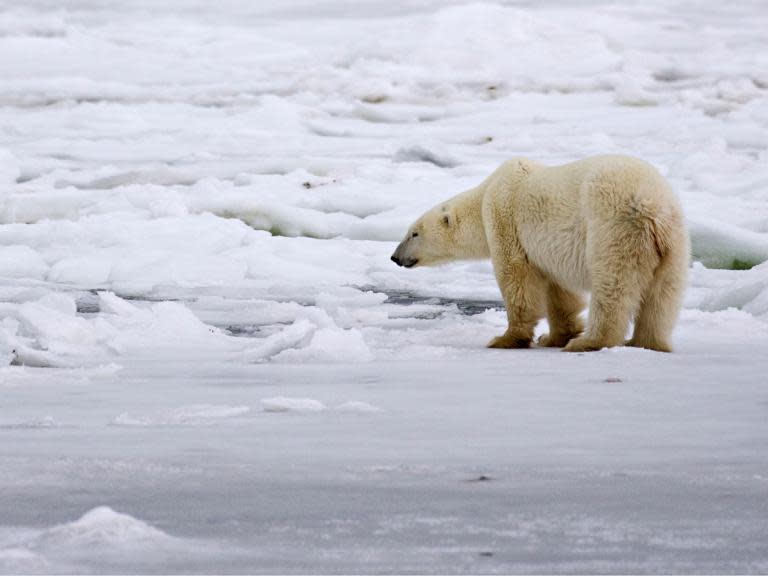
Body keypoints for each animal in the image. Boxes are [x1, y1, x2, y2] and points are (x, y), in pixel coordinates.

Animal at [390, 155, 688, 352]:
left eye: (413, 233)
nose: (395, 257)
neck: (486, 193)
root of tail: (653, 208)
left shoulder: (505, 218)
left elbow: (516, 278)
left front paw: (506, 339)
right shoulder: (548, 250)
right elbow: (559, 291)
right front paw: (555, 336)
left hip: (613, 229)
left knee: (613, 287)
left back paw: (589, 342)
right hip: (673, 245)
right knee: (663, 297)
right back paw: (645, 342)